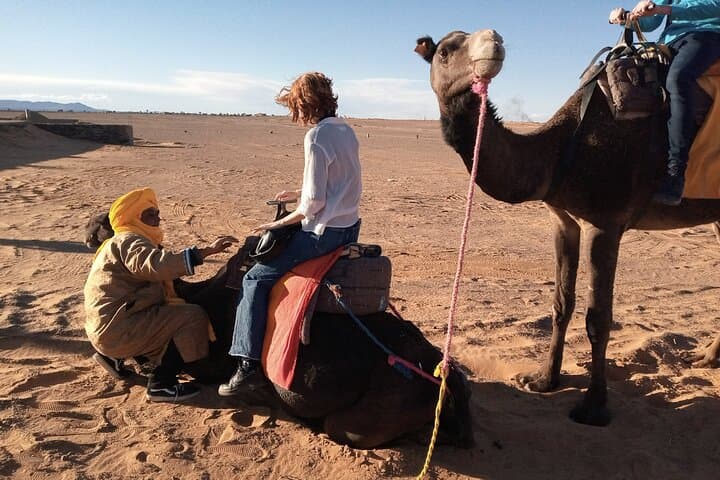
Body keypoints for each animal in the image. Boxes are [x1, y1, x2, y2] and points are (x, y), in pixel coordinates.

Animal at [415, 29, 720, 426]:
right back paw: (706, 357)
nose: (494, 40)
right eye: (447, 51)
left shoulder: (603, 223)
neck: (560, 150)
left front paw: (594, 405)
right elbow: (561, 302)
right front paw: (544, 379)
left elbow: (598, 318)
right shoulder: (563, 220)